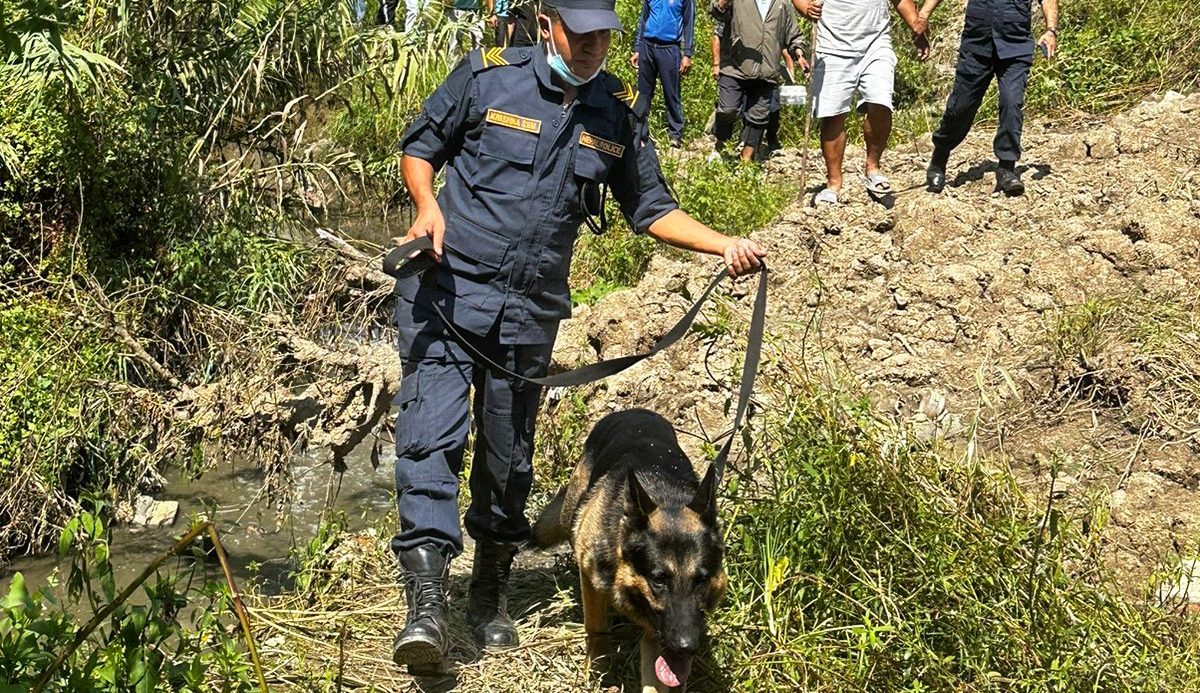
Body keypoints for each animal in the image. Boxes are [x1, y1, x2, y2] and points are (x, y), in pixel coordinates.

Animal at [532, 407, 720, 685]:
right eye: (658, 579)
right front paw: (597, 672)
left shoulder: (657, 630)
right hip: (572, 516)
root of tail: (635, 410)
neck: (665, 497)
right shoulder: (591, 579)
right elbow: (596, 629)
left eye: (701, 579)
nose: (686, 647)